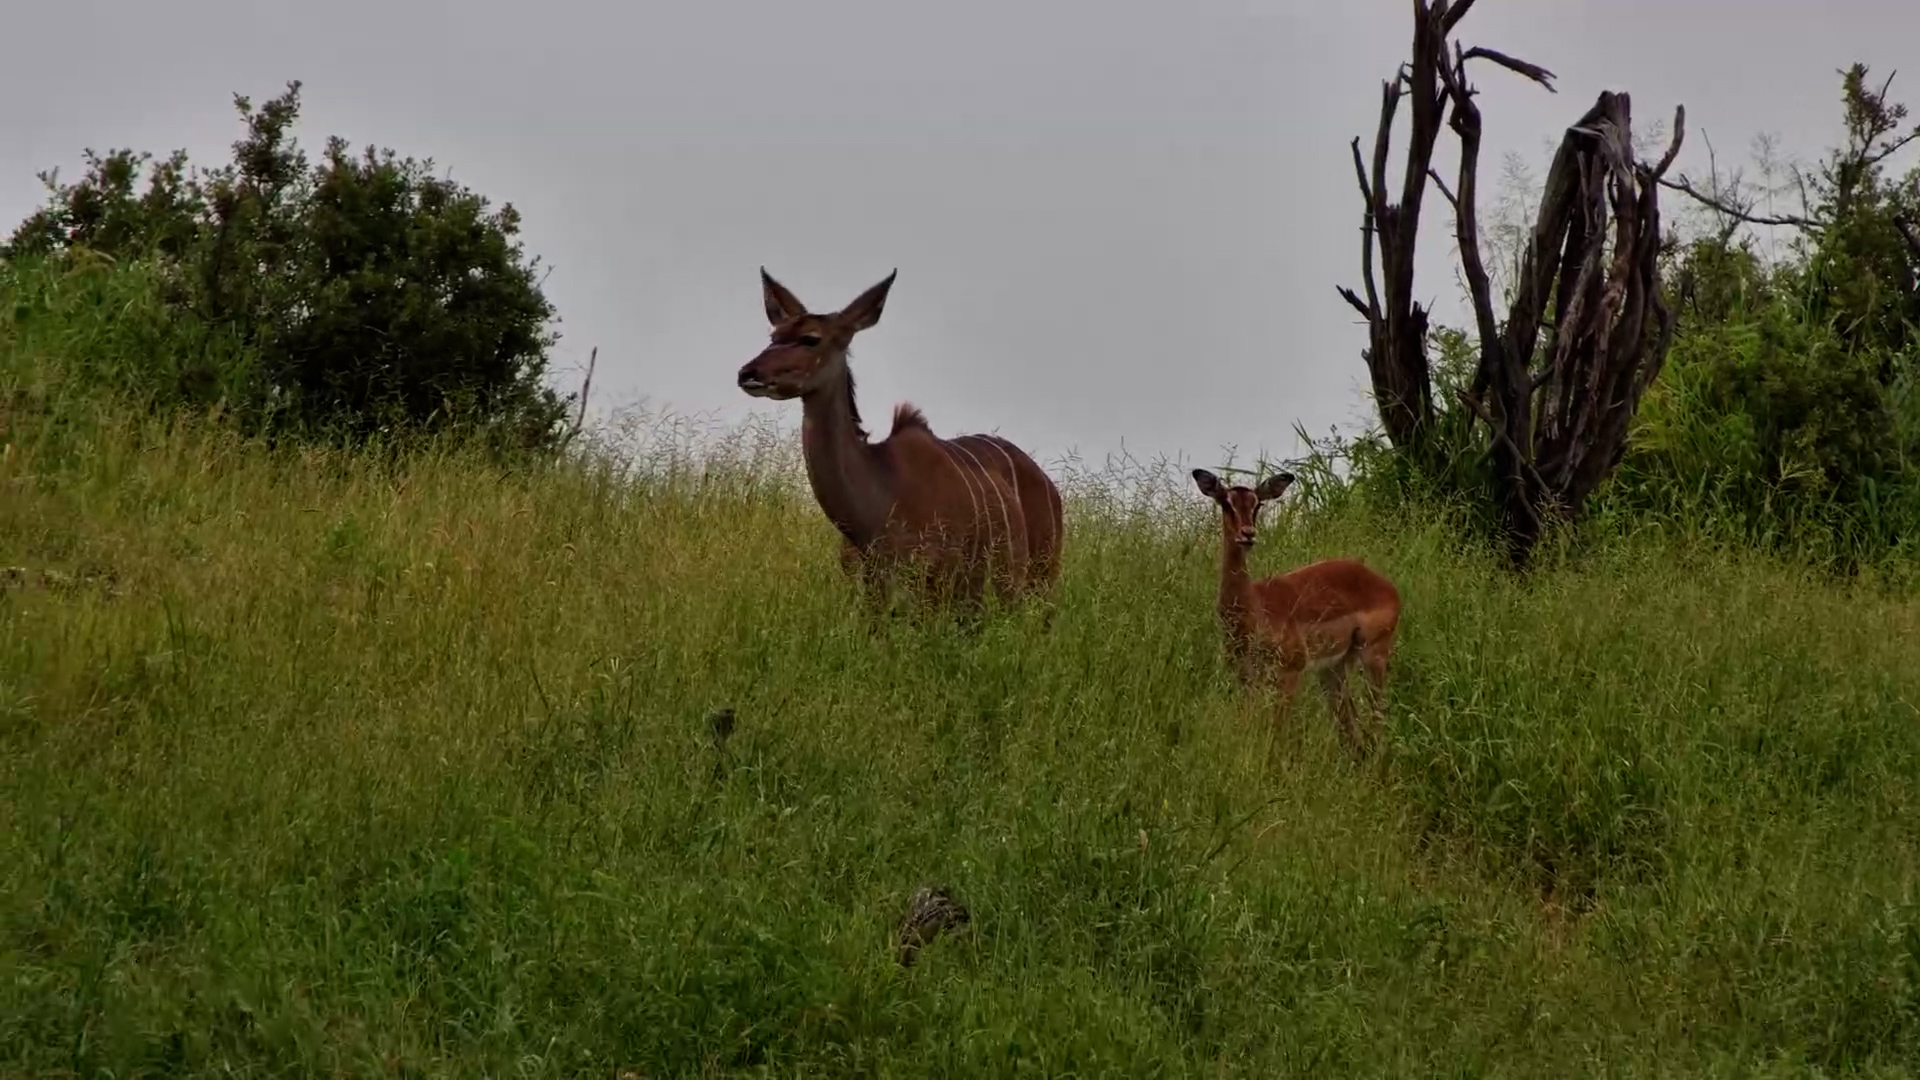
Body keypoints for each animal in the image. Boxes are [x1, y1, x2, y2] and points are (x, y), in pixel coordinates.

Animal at [1191, 468, 1402, 757]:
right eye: (1226, 503)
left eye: (1257, 504)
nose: (1248, 534)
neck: (1254, 609)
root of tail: (1386, 586)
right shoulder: (1245, 677)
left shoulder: (1290, 672)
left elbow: (1279, 728)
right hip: (1334, 668)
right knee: (1348, 722)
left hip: (1373, 655)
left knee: (1376, 715)